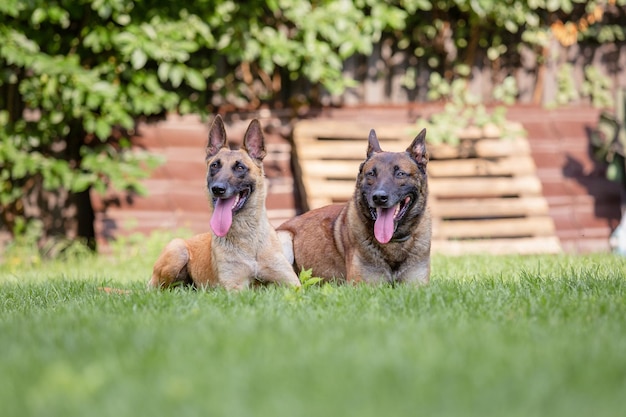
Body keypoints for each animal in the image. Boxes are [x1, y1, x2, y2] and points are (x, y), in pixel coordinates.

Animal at [149, 114, 300, 290]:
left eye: (240, 167)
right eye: (214, 166)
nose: (217, 189)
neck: (246, 238)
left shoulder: (293, 283)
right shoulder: (234, 287)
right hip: (178, 251)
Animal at [276, 127, 428, 284]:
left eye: (400, 174)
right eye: (371, 174)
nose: (379, 197)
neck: (393, 241)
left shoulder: (417, 284)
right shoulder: (363, 285)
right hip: (284, 239)